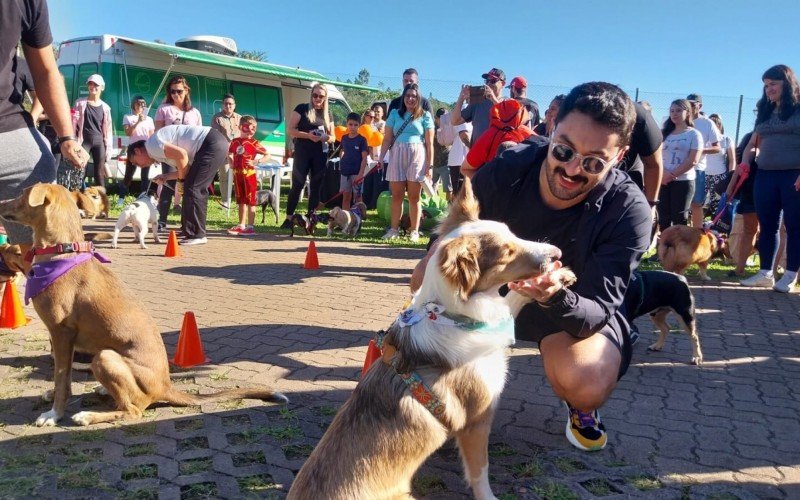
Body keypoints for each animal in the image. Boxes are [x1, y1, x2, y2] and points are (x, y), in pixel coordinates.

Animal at [0, 184, 288, 426]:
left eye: (23, 194)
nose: (1, 201)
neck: (62, 253)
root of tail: (166, 386)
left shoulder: (62, 333)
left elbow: (63, 379)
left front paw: (55, 414)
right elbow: (64, 376)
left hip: (104, 357)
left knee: (133, 410)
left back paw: (89, 416)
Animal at [290, 178, 572, 498]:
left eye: (512, 233)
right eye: (506, 253)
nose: (557, 253)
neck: (451, 314)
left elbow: (510, 300)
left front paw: (558, 278)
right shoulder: (476, 421)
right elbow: (480, 473)